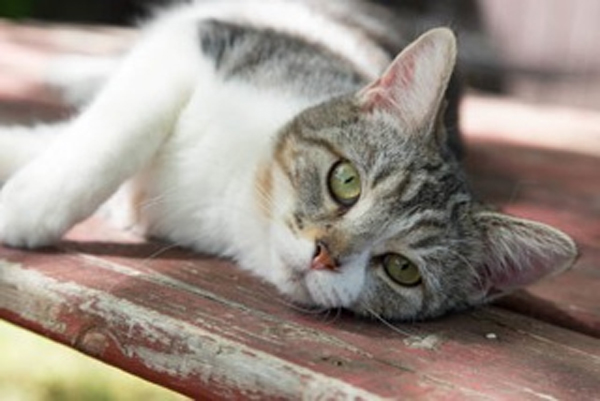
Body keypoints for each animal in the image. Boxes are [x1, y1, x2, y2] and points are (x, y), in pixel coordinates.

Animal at [0, 0, 576, 318]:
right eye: (346, 181)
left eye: (402, 269)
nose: (324, 254)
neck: (238, 192)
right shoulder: (209, 42)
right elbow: (118, 128)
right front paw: (32, 202)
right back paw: (73, 72)